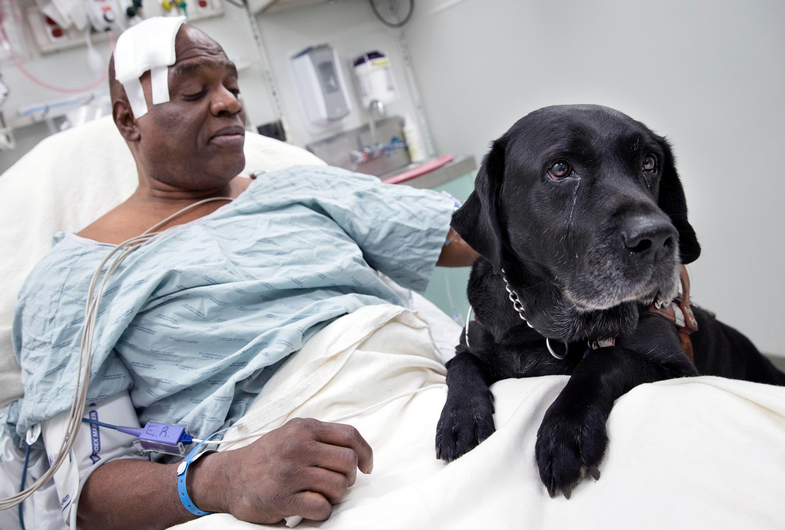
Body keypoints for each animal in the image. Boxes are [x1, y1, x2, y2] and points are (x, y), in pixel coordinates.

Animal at [434, 105, 784, 498]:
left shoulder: (679, 370)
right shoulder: (472, 343)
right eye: (560, 168)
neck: (544, 329)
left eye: (649, 163)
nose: (659, 238)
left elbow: (605, 358)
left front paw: (566, 431)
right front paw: (462, 418)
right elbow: (461, 363)